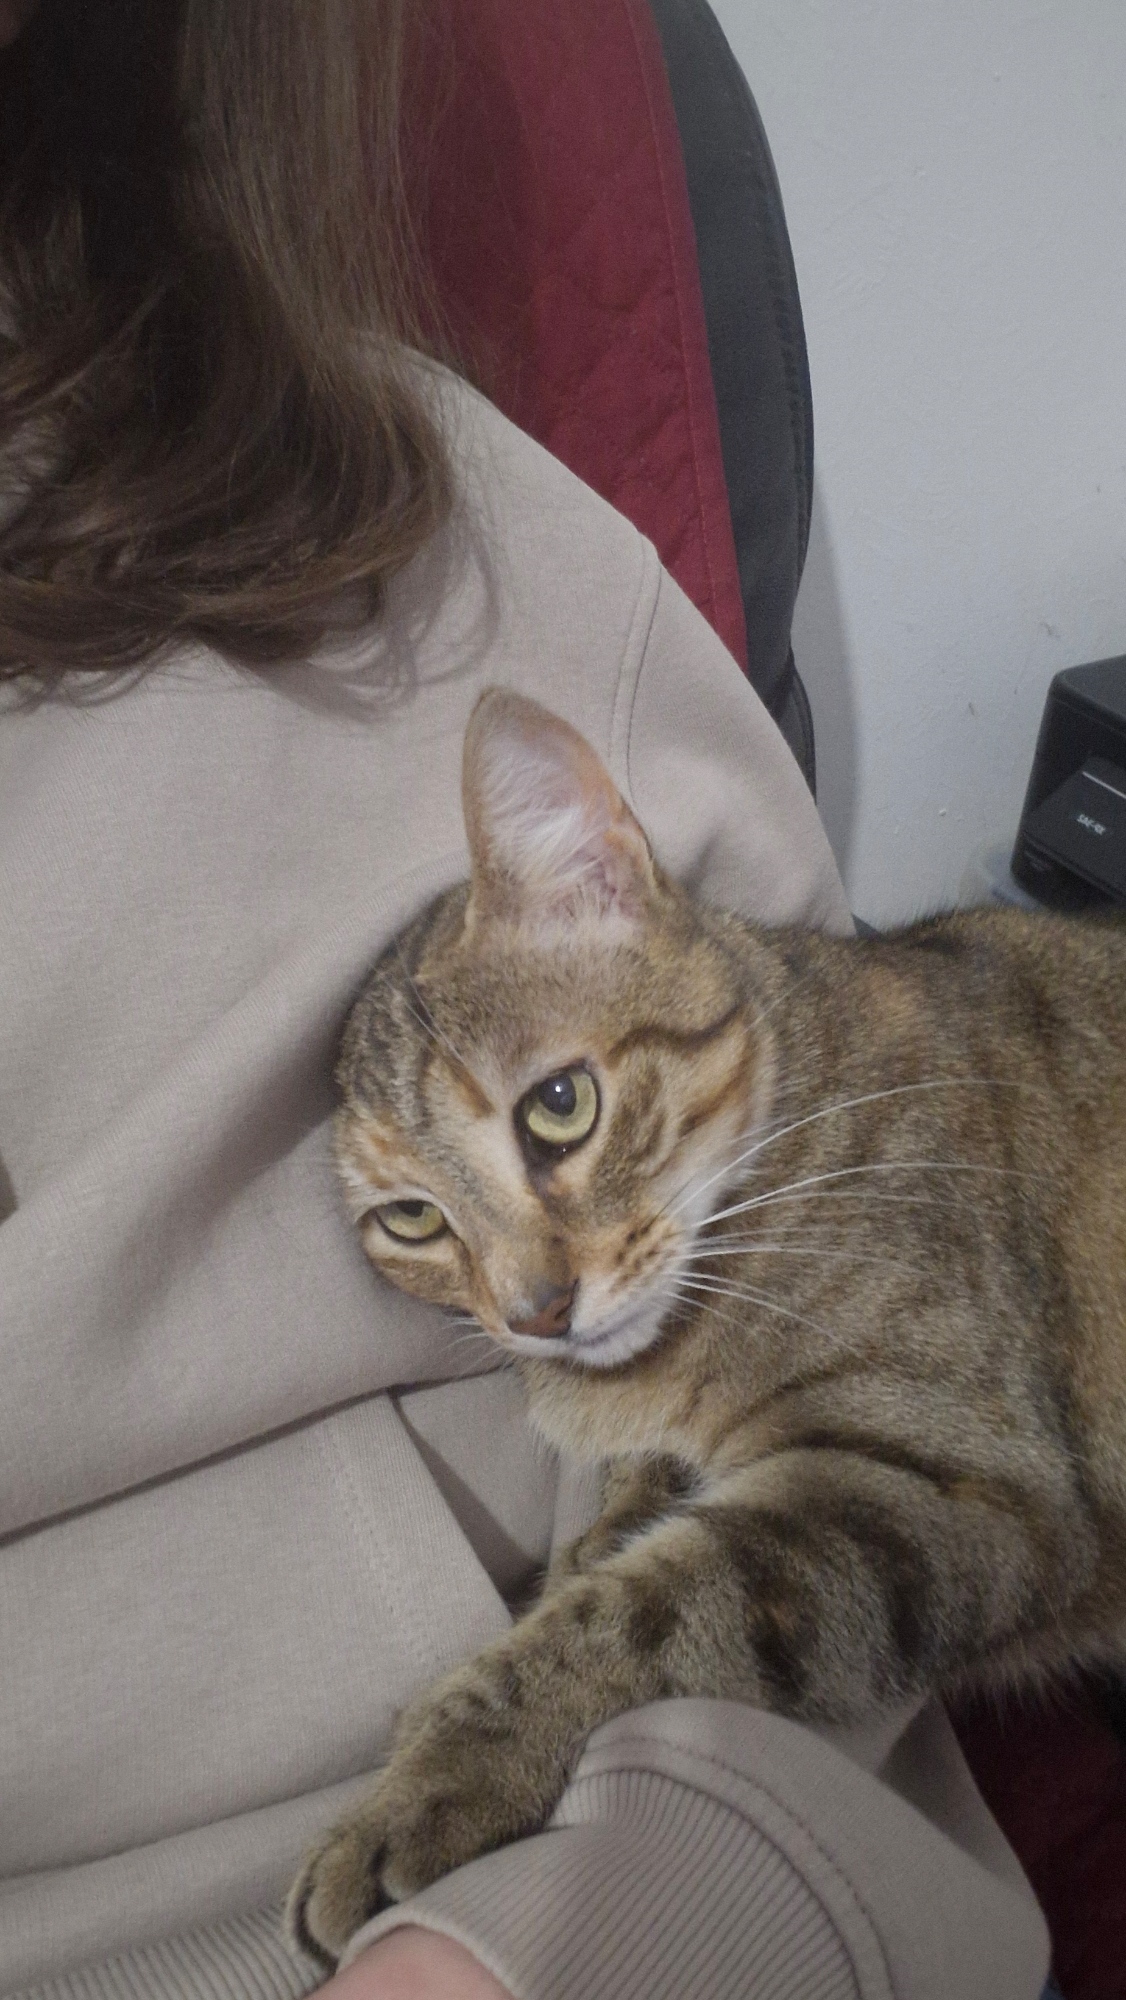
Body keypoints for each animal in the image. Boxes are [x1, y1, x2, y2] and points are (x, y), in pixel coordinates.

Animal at [288, 686, 1126, 1967]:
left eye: (560, 1104)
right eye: (412, 1219)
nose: (534, 1313)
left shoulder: (973, 1489)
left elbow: (646, 1610)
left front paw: (435, 1774)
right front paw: (609, 1519)